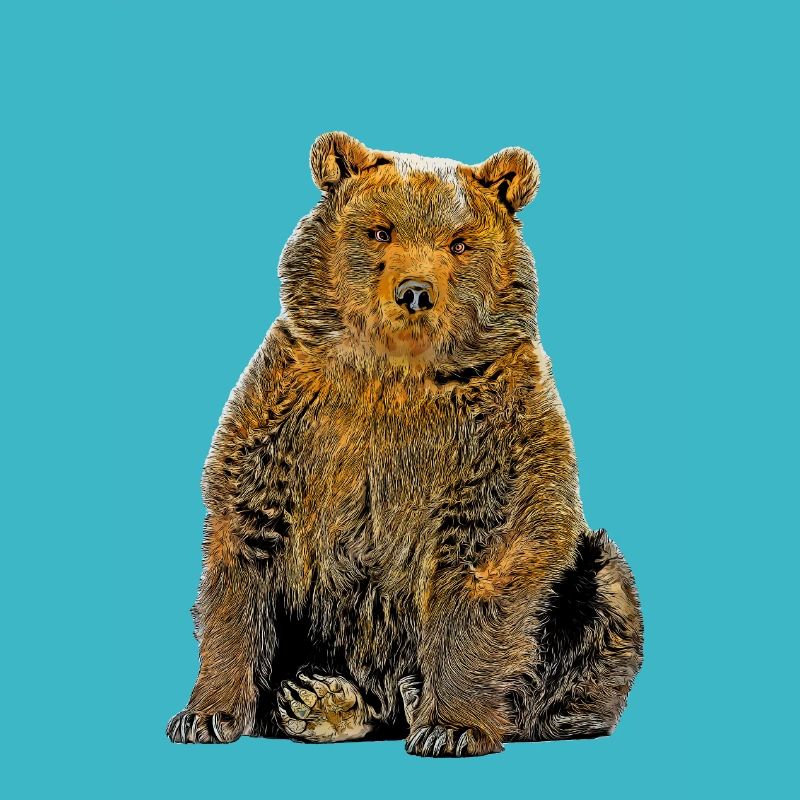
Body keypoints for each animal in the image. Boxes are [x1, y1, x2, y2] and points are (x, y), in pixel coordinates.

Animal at [166, 131, 643, 757]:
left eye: (459, 243)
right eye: (381, 231)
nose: (415, 292)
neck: (394, 371)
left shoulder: (495, 432)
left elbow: (486, 556)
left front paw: (454, 724)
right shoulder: (291, 417)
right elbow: (244, 550)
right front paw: (205, 715)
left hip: (582, 586)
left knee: (601, 596)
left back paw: (424, 699)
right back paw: (320, 699)